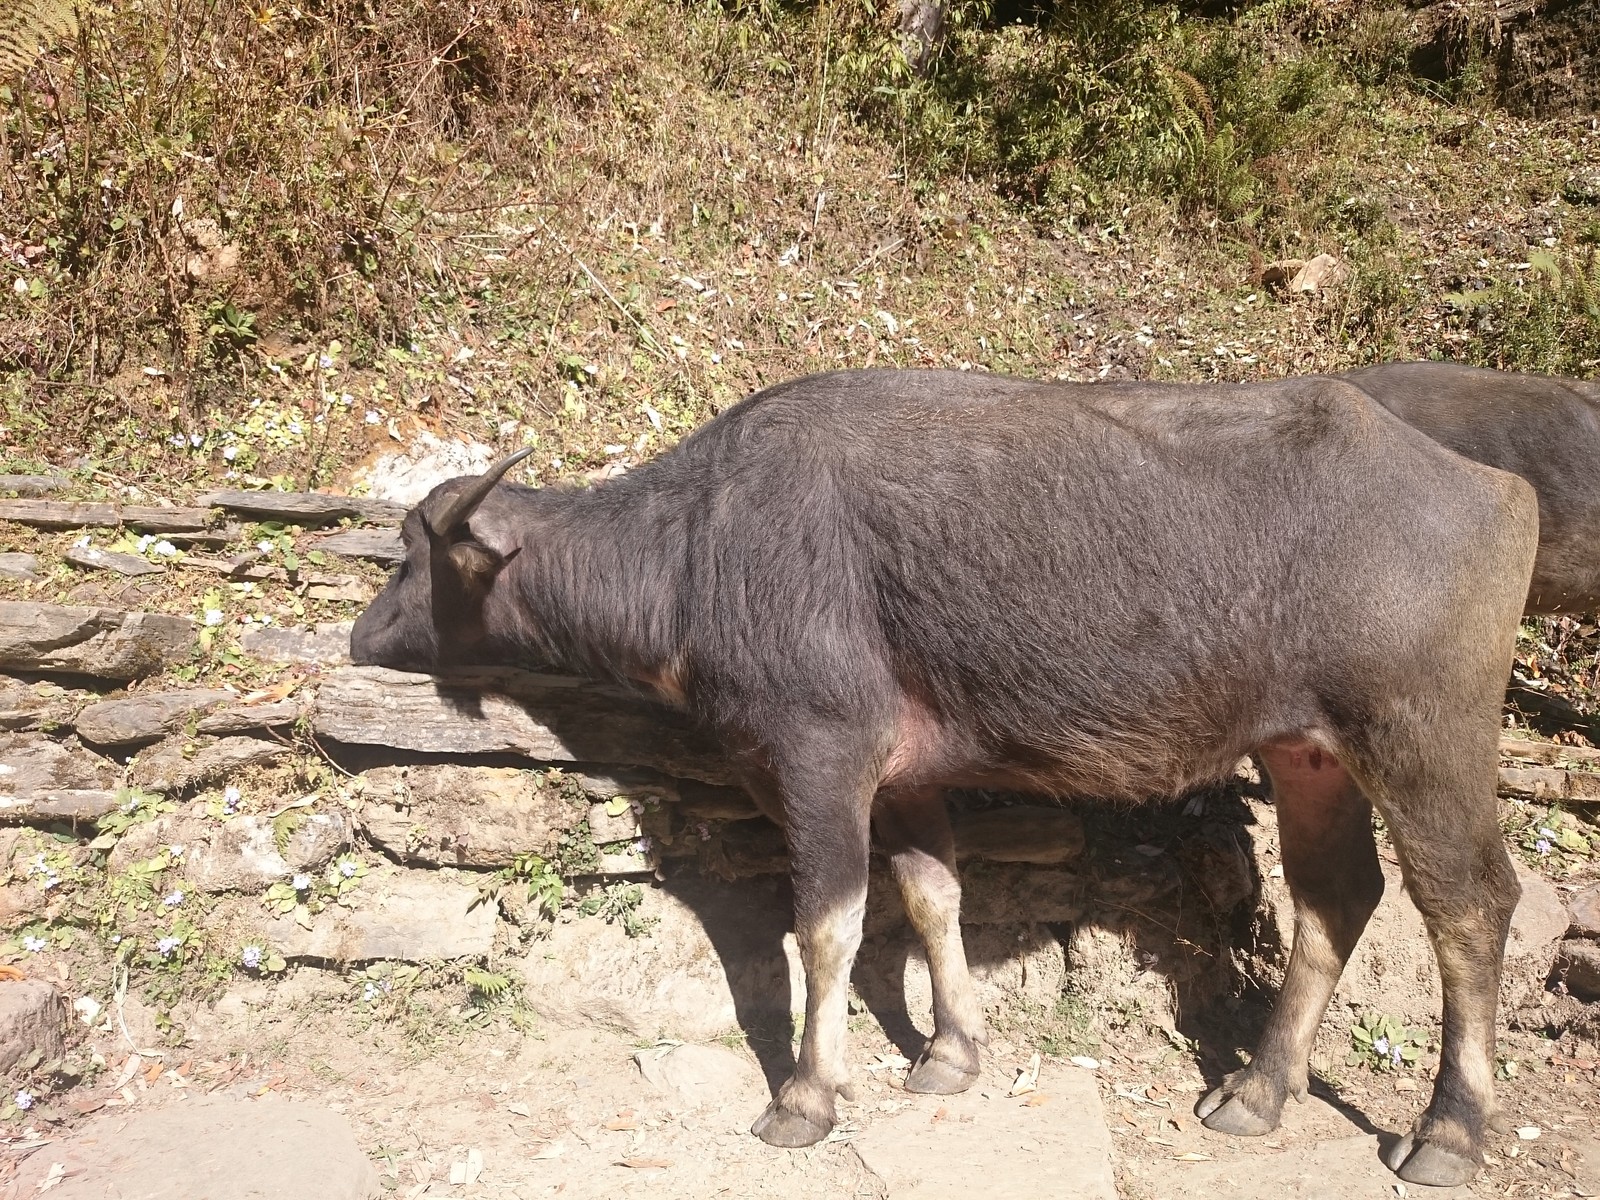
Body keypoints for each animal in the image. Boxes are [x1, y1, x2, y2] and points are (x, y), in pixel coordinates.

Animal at [350, 374, 1536, 1196]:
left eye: (410, 553)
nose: (361, 635)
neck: (696, 551)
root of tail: (1498, 490)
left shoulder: (819, 757)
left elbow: (823, 926)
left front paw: (807, 1096)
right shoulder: (908, 779)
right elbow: (932, 896)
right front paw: (950, 1053)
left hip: (1424, 739)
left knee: (1469, 905)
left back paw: (1447, 1132)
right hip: (1307, 753)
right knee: (1336, 895)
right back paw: (1257, 1089)